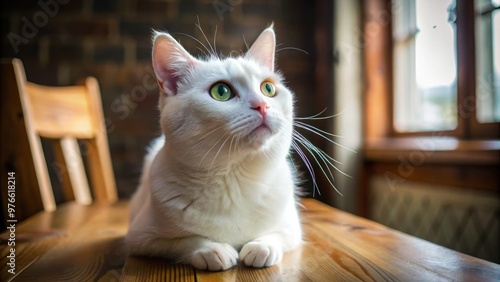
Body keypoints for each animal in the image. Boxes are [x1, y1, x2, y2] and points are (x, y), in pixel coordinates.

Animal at [127, 26, 302, 270]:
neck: (234, 180)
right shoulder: (140, 238)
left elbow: (277, 234)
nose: (262, 105)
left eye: (268, 88)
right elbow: (183, 240)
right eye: (221, 91)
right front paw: (212, 250)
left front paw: (261, 248)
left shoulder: (292, 227)